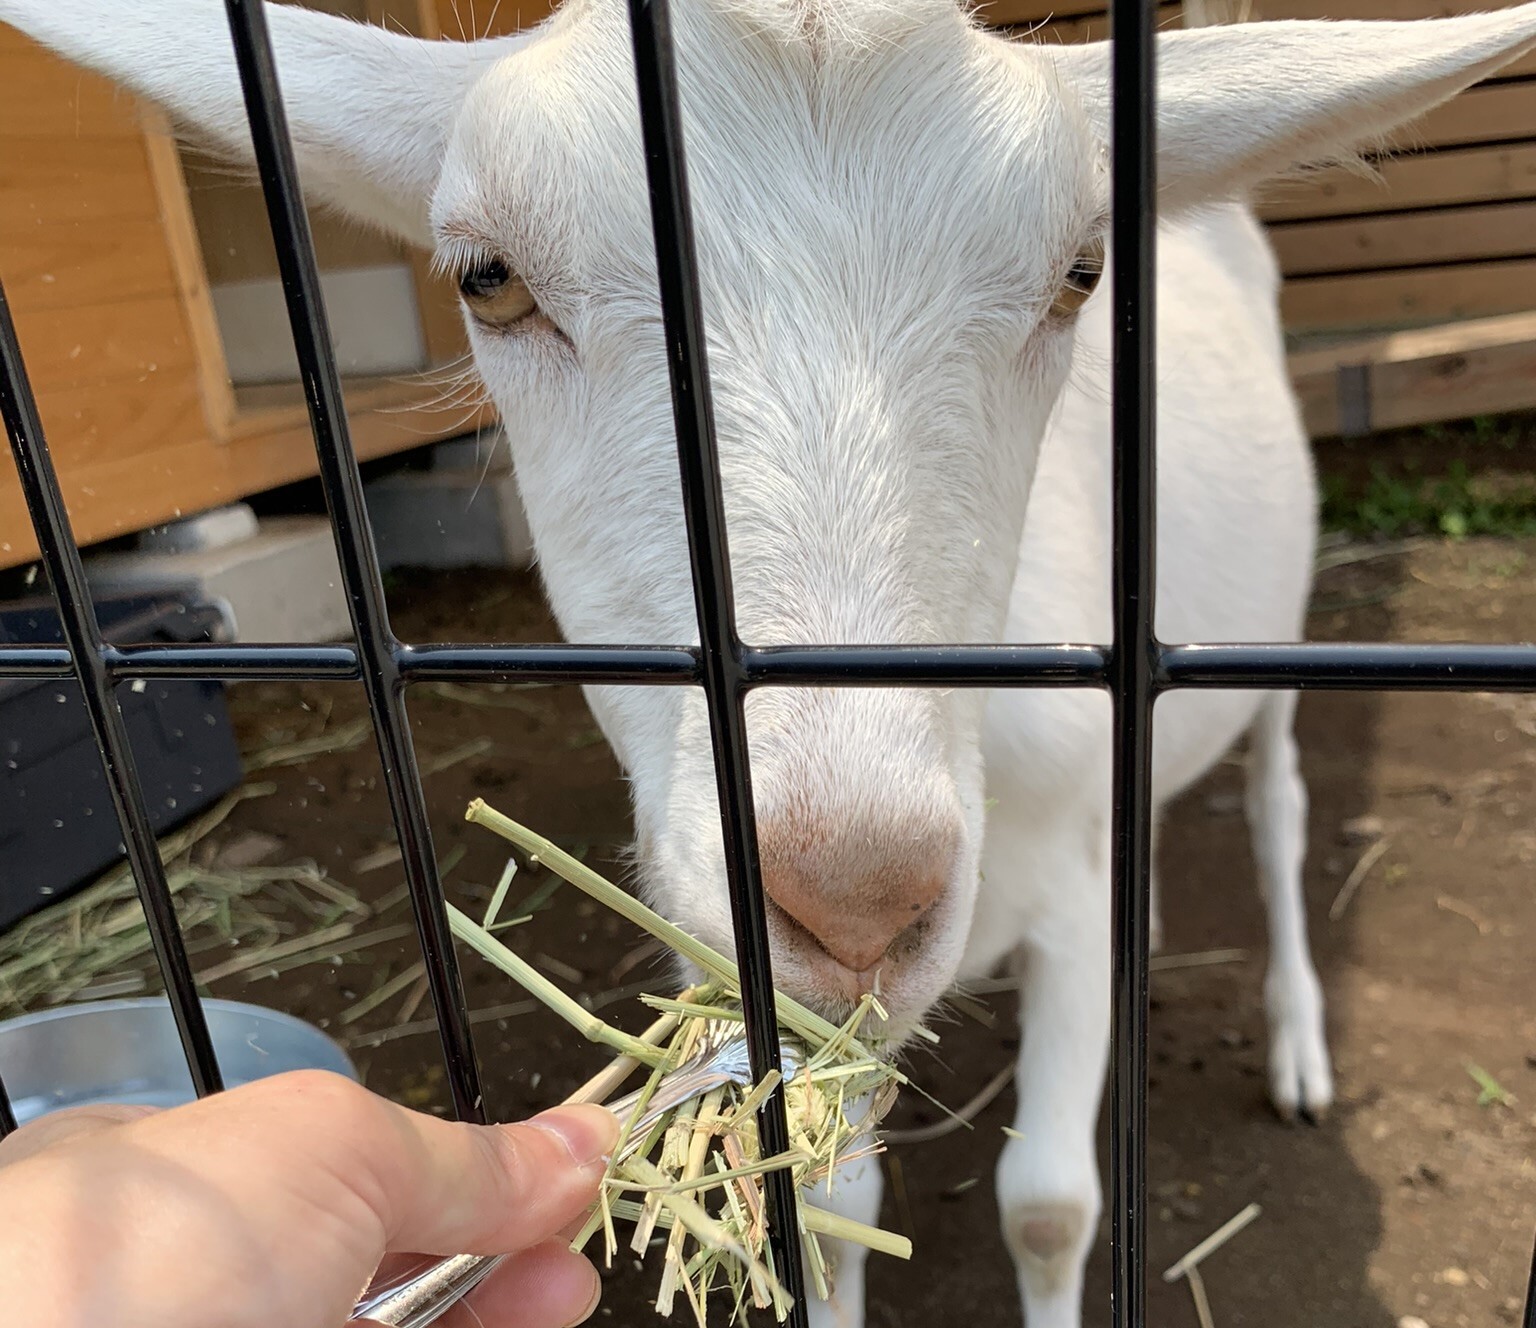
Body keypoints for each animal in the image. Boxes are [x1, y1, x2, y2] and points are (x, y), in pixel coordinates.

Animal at [9, 5, 1536, 1320]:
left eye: (1084, 273)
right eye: (488, 280)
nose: (854, 896)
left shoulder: (1057, 894)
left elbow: (1049, 1204)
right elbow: (834, 1198)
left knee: (1278, 797)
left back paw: (1297, 1042)